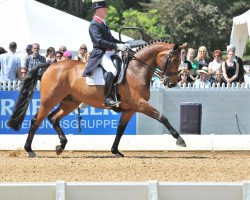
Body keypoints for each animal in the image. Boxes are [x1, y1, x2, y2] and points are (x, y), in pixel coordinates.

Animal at [7, 41, 187, 158]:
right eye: (173, 60)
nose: (172, 83)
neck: (136, 70)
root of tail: (50, 66)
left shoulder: (129, 109)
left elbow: (120, 130)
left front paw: (115, 151)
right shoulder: (140, 104)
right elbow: (162, 117)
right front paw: (180, 139)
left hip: (70, 102)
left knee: (53, 118)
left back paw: (61, 145)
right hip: (49, 100)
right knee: (36, 120)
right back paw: (30, 150)